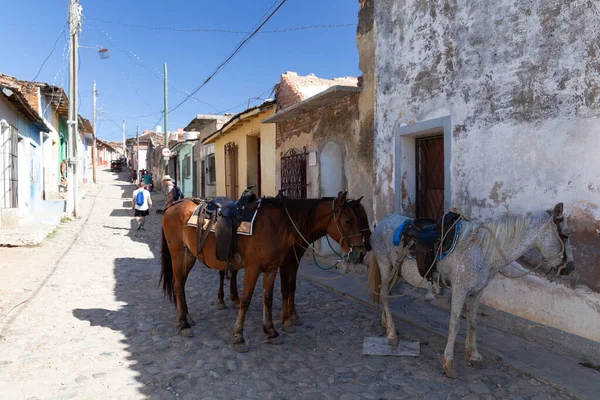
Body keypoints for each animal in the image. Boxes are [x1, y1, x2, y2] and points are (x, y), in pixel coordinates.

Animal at [159, 191, 366, 350]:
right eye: (348, 221)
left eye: (358, 219)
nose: (361, 252)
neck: (277, 225)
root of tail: (173, 206)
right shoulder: (253, 268)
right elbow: (246, 300)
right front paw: (238, 336)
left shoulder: (271, 268)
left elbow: (268, 298)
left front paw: (271, 331)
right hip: (177, 253)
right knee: (177, 285)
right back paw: (184, 324)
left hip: (190, 255)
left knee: (182, 283)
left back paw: (187, 317)